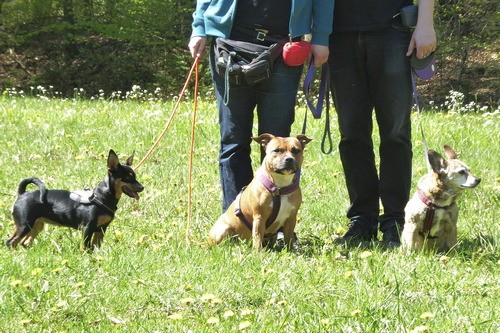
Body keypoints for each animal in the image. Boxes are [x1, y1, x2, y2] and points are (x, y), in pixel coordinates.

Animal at [6, 149, 143, 250]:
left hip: (36, 225)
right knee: (11, 242)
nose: (142, 187)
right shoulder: (87, 228)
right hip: (24, 225)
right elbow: (85, 247)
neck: (102, 197)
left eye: (135, 177)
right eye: (127, 178)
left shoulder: (101, 229)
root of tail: (22, 194)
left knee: (24, 242)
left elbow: (96, 247)